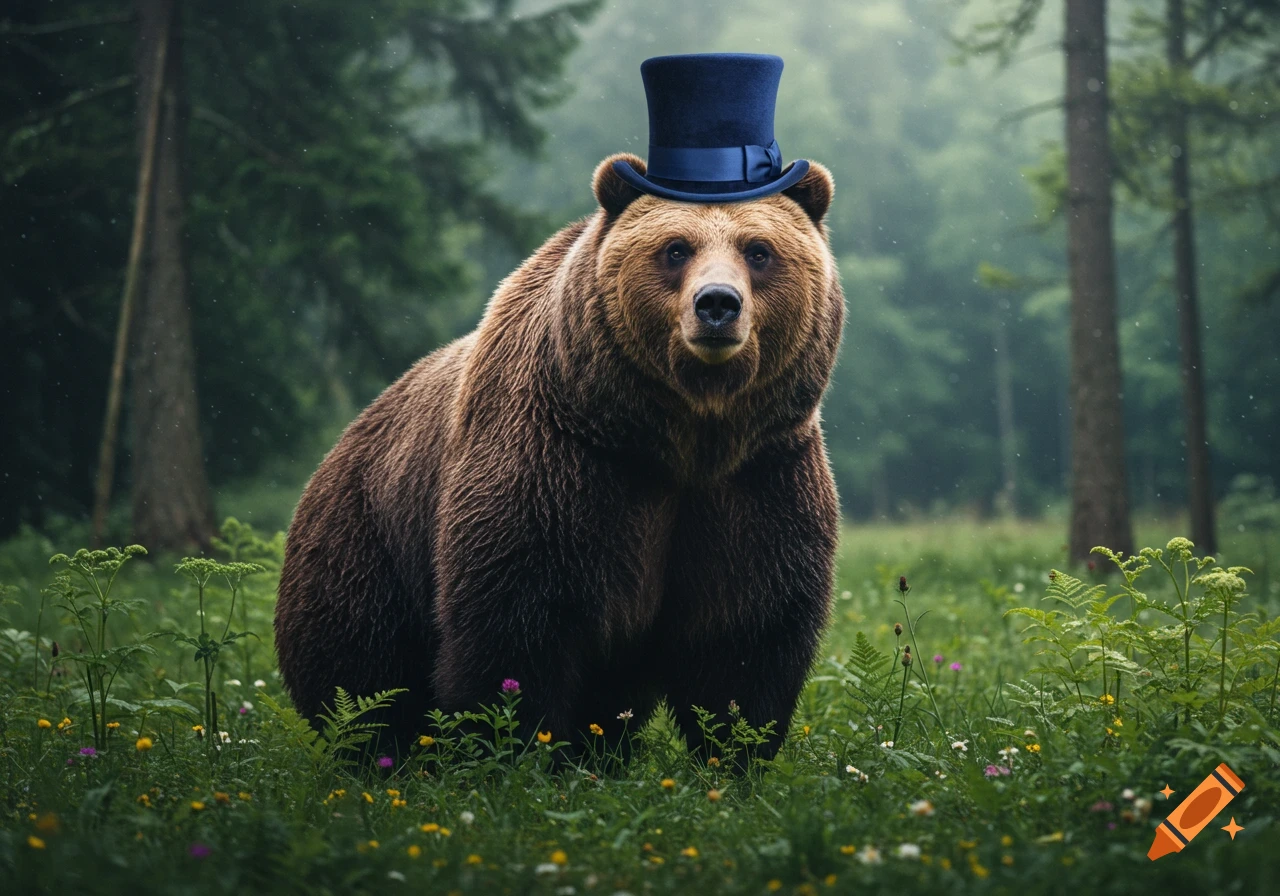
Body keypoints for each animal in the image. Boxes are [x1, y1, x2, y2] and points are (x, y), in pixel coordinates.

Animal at [274, 153, 844, 764]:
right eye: (675, 248)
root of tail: (342, 443)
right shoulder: (562, 462)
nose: (717, 304)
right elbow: (516, 623)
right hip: (368, 539)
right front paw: (512, 747)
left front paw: (735, 750)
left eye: (758, 250)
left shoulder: (757, 476)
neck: (682, 437)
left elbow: (745, 636)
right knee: (364, 677)